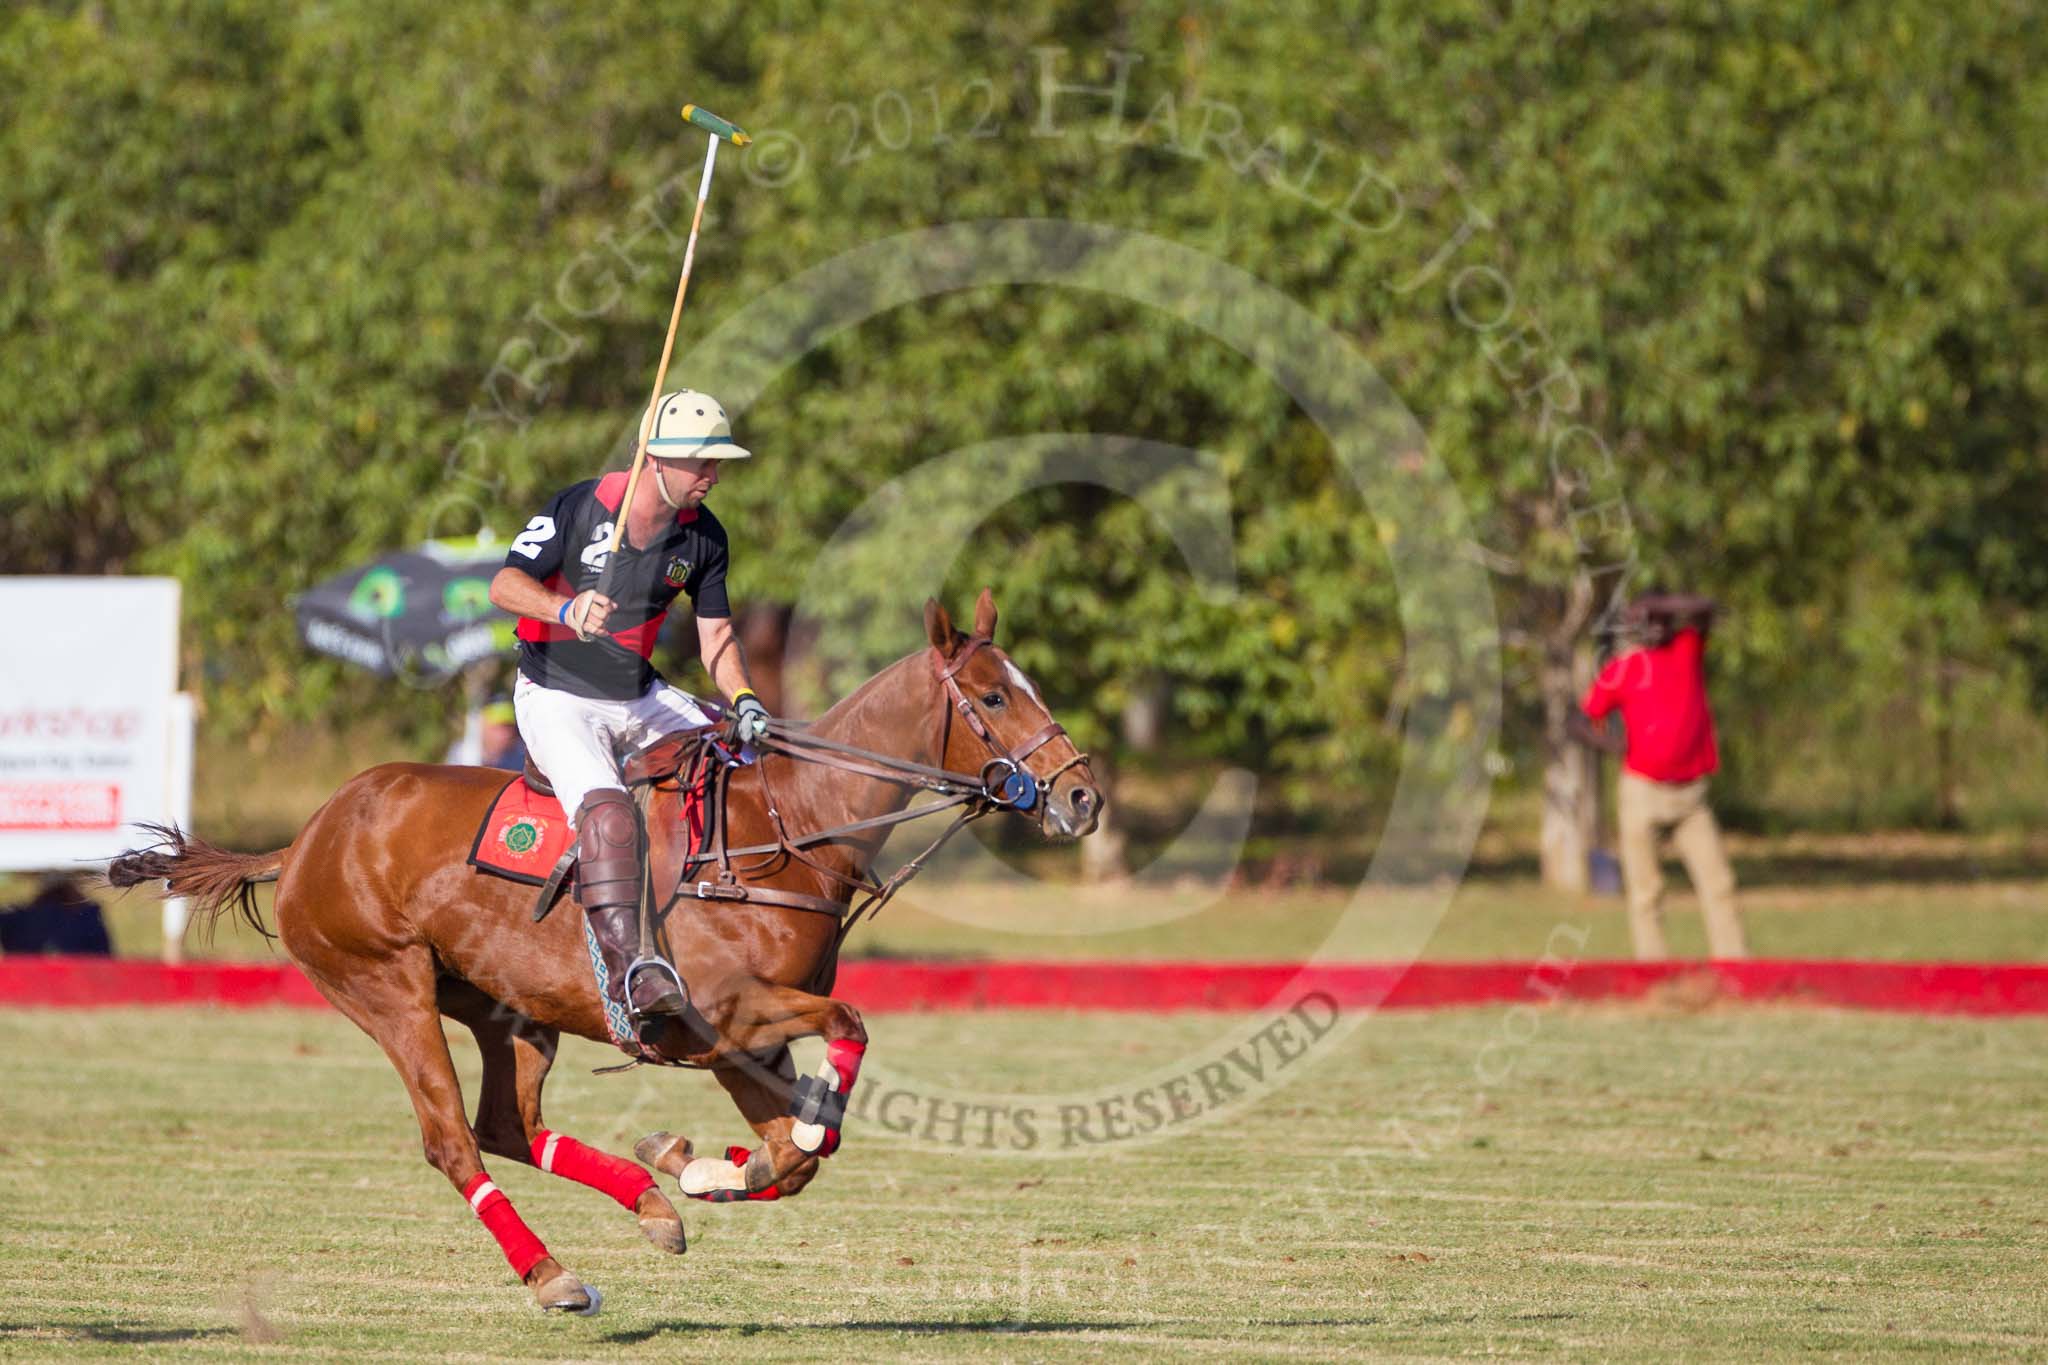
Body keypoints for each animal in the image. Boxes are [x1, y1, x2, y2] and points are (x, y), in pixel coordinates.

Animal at [108, 593, 1105, 1317]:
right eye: (992, 695)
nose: (1082, 797)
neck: (789, 826)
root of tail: (306, 835)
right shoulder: (724, 1010)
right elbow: (842, 1048)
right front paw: (726, 1152)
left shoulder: (734, 1043)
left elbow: (793, 1158)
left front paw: (695, 1163)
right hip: (386, 987)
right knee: (451, 1139)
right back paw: (555, 1276)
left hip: (510, 1011)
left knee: (505, 1124)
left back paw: (649, 1203)